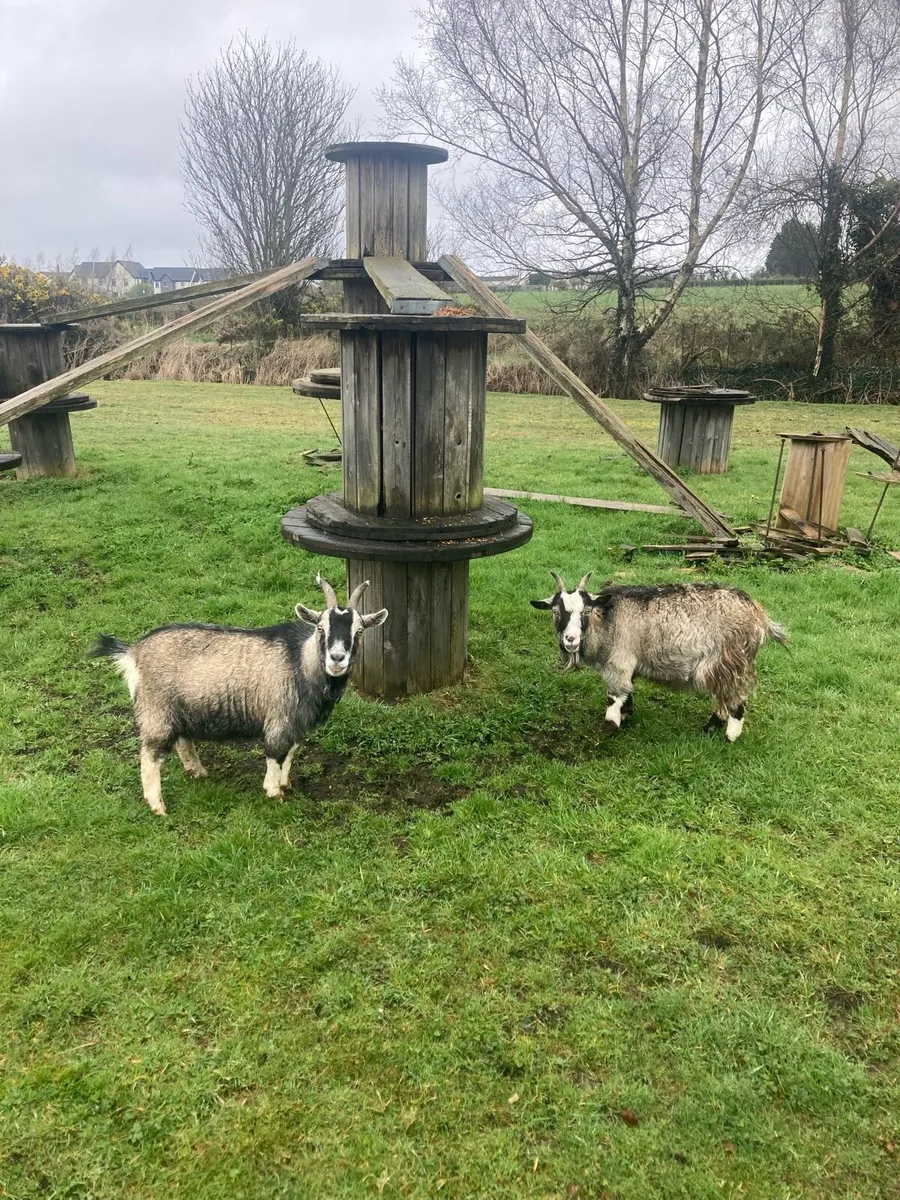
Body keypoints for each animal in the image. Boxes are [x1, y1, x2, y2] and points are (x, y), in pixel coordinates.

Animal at [90, 575, 388, 814]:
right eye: (320, 627)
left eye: (359, 630)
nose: (337, 659)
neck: (299, 662)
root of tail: (133, 652)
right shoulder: (278, 718)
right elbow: (275, 753)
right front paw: (274, 792)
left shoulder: (297, 722)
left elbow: (291, 752)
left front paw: (286, 783)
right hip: (156, 710)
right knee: (150, 755)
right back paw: (158, 806)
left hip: (179, 709)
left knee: (182, 741)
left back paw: (198, 772)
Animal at [531, 572, 788, 740]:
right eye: (556, 611)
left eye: (585, 611)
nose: (570, 639)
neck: (607, 620)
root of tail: (759, 615)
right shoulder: (630, 664)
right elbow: (628, 692)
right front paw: (627, 715)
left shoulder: (619, 663)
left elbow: (614, 696)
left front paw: (609, 728)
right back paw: (711, 728)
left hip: (730, 662)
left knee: (736, 700)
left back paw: (729, 737)